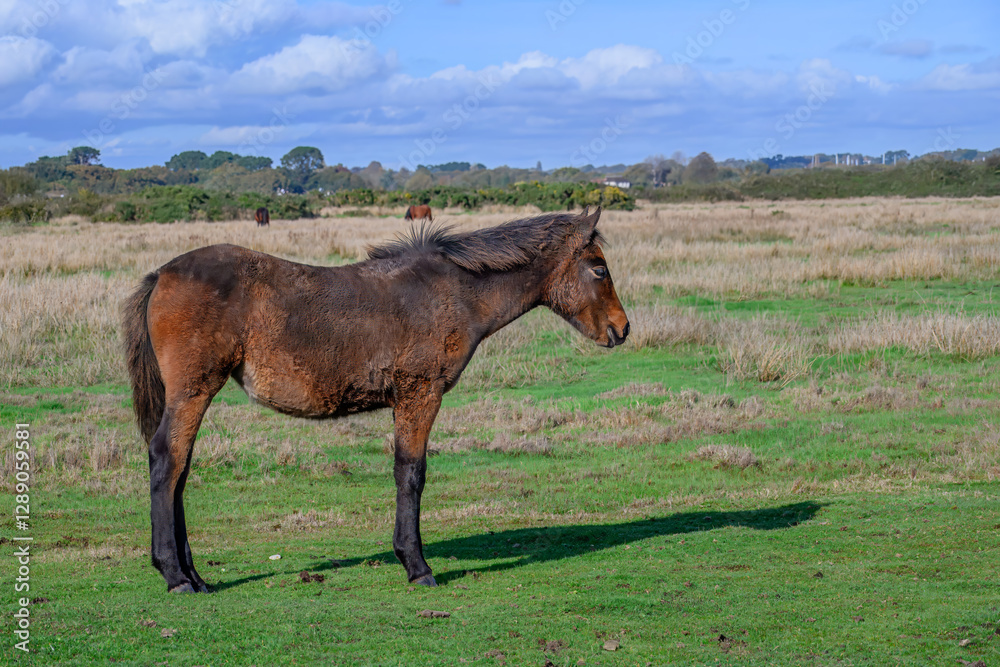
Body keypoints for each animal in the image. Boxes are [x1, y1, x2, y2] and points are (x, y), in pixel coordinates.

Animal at [122, 207, 629, 593]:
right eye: (599, 268)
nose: (622, 329)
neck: (452, 292)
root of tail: (162, 273)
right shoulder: (420, 394)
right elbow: (411, 474)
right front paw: (417, 566)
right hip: (194, 390)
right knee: (167, 460)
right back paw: (176, 576)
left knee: (180, 469)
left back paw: (194, 575)